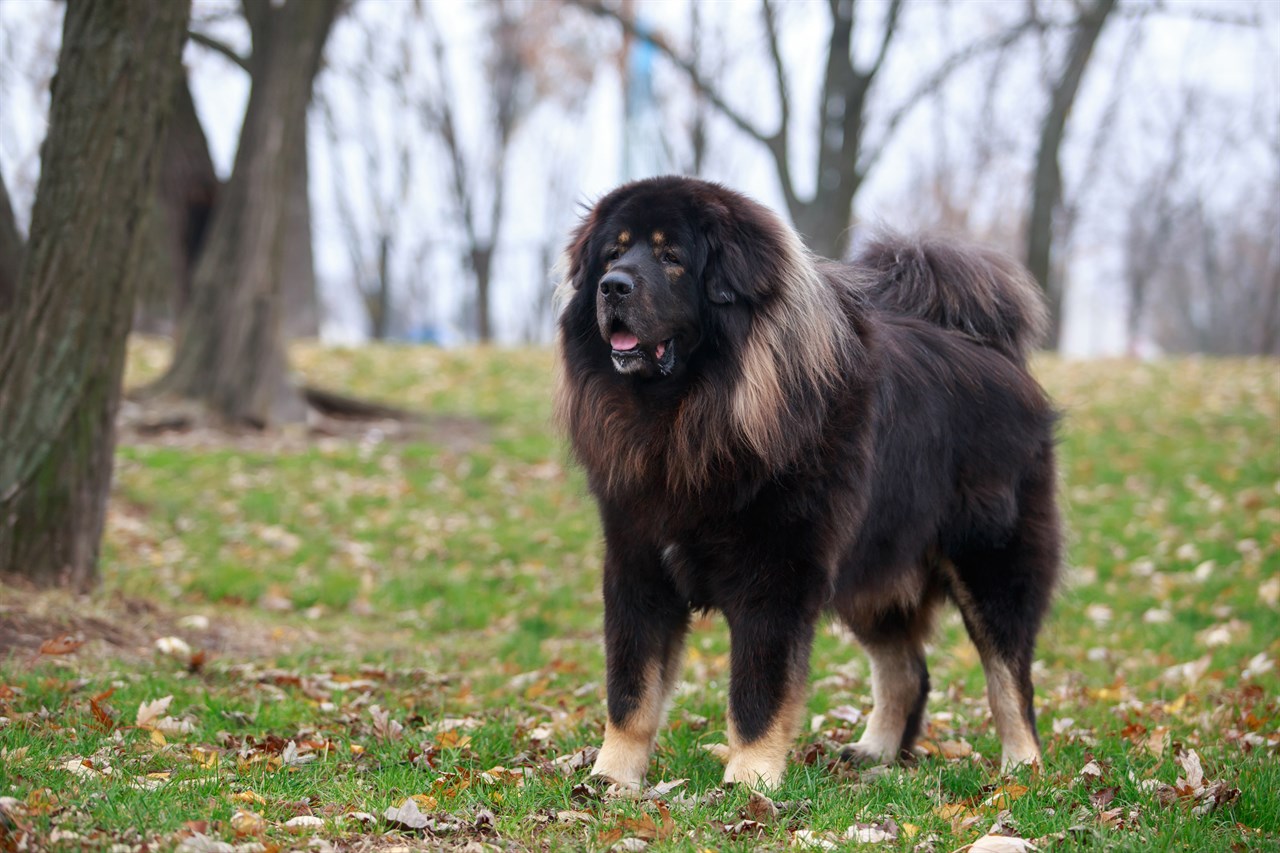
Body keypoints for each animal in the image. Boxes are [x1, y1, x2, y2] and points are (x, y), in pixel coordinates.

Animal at [555, 175, 1064, 788]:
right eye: (613, 253)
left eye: (672, 257)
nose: (613, 286)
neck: (686, 417)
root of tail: (996, 355)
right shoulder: (637, 566)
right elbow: (630, 690)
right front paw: (610, 779)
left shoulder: (777, 577)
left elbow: (757, 695)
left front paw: (748, 781)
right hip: (874, 571)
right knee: (907, 671)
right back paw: (874, 753)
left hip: (990, 565)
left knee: (1010, 678)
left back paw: (1022, 769)